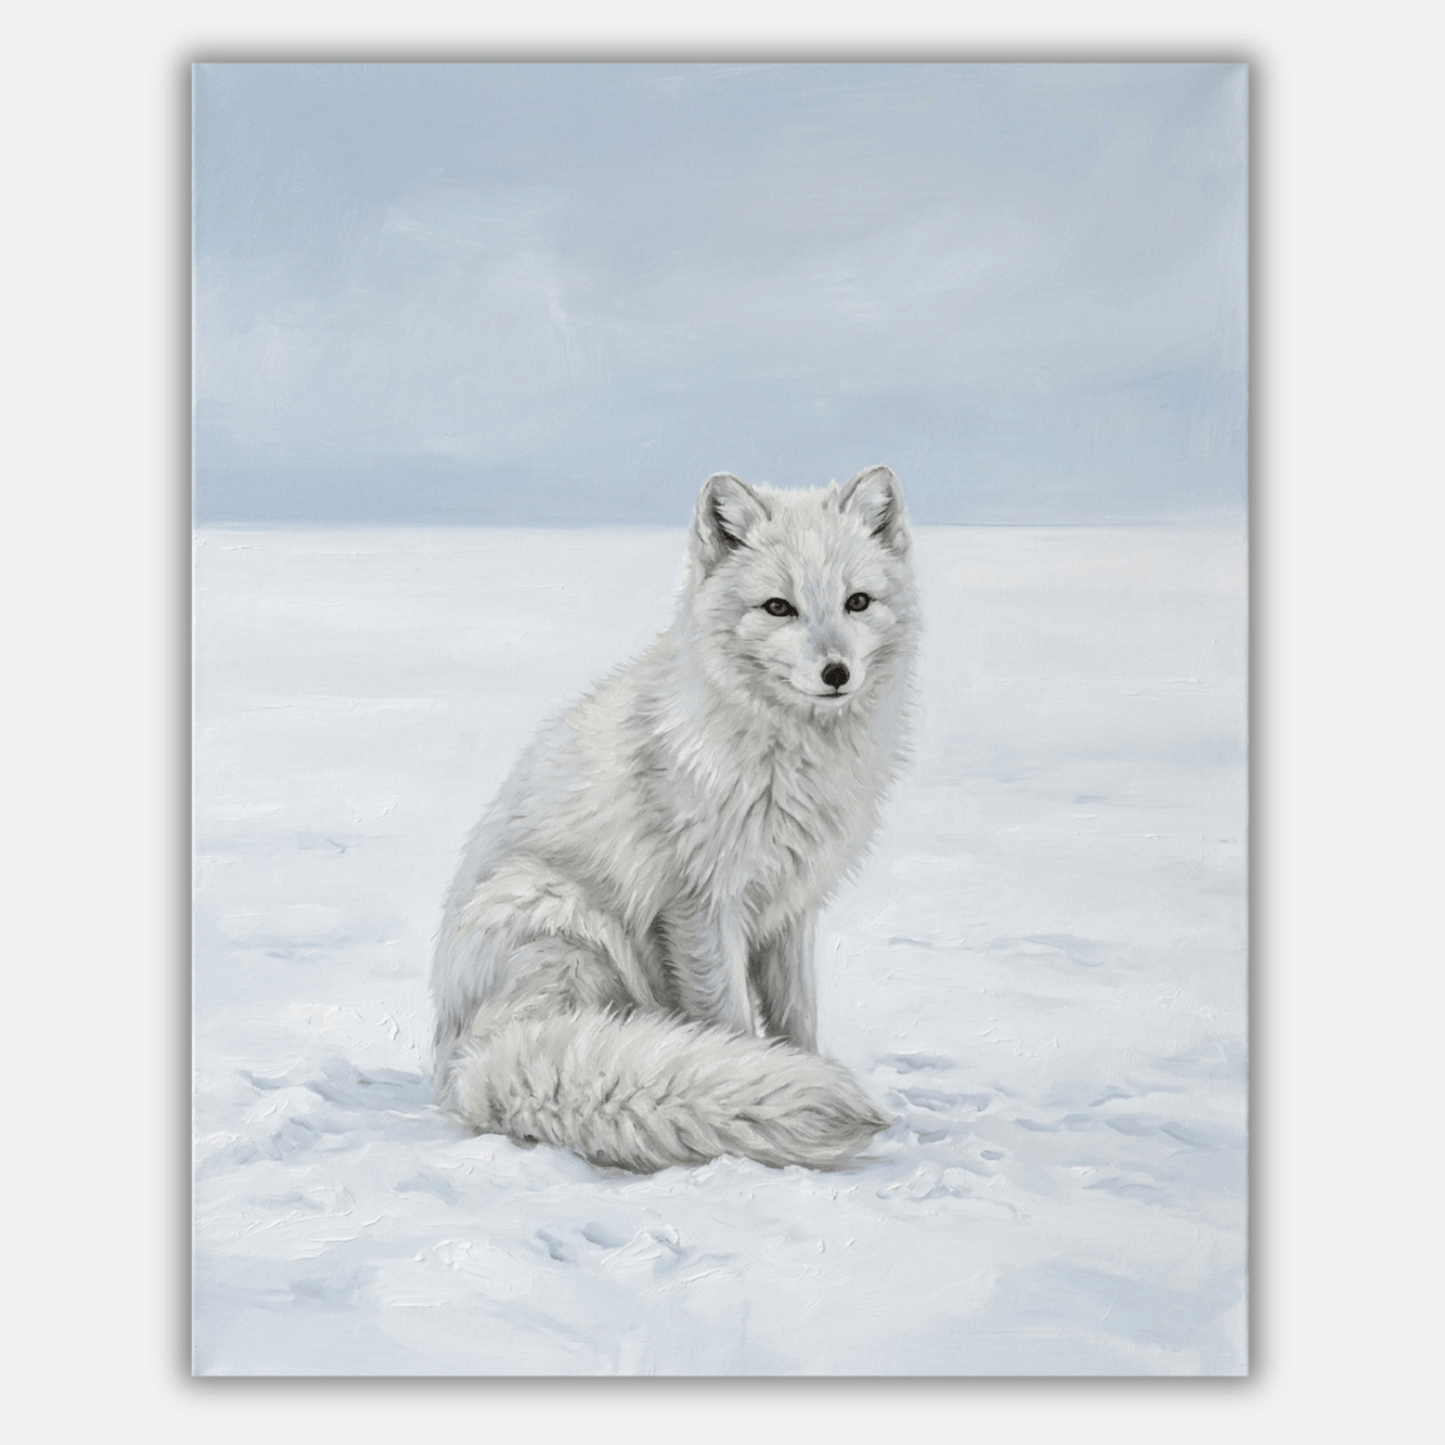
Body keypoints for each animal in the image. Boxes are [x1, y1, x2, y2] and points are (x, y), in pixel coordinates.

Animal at [430, 464, 918, 1172]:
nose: (836, 672)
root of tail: (457, 1064)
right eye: (779, 608)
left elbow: (797, 1021)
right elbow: (733, 1024)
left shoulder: (790, 909)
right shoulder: (700, 907)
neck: (788, 759)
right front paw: (753, 1083)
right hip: (564, 925)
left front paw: (802, 1067)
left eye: (858, 602)